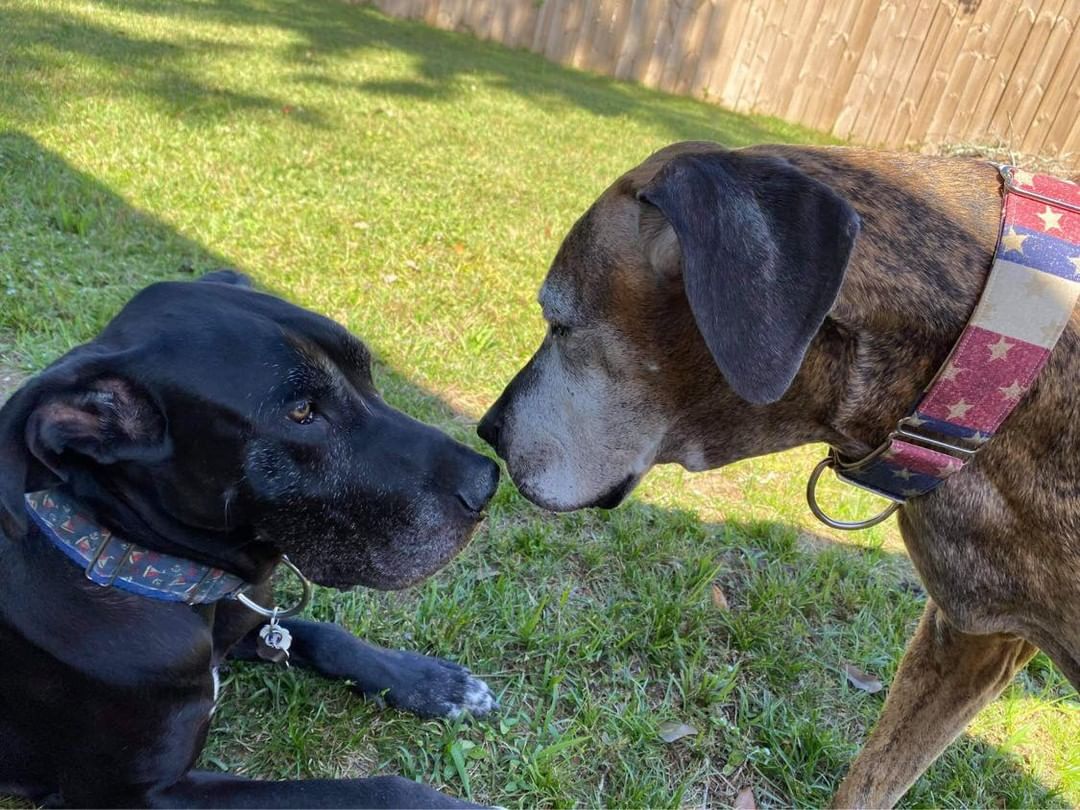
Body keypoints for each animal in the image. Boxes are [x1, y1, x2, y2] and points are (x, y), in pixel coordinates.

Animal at [0, 274, 496, 810]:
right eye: (302, 412)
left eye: (366, 373)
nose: (488, 483)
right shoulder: (137, 797)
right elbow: (376, 791)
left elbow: (324, 633)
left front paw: (437, 684)